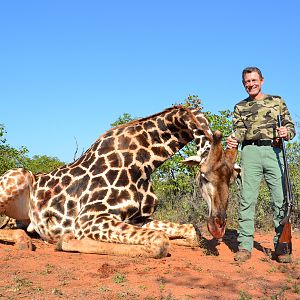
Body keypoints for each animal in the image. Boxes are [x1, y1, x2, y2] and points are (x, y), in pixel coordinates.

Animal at [0, 105, 239, 258]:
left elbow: (191, 232)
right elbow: (161, 242)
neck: (144, 163)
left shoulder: (139, 218)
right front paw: (65, 241)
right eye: (203, 176)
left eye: (233, 178)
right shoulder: (88, 219)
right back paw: (23, 241)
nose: (218, 227)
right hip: (18, 176)